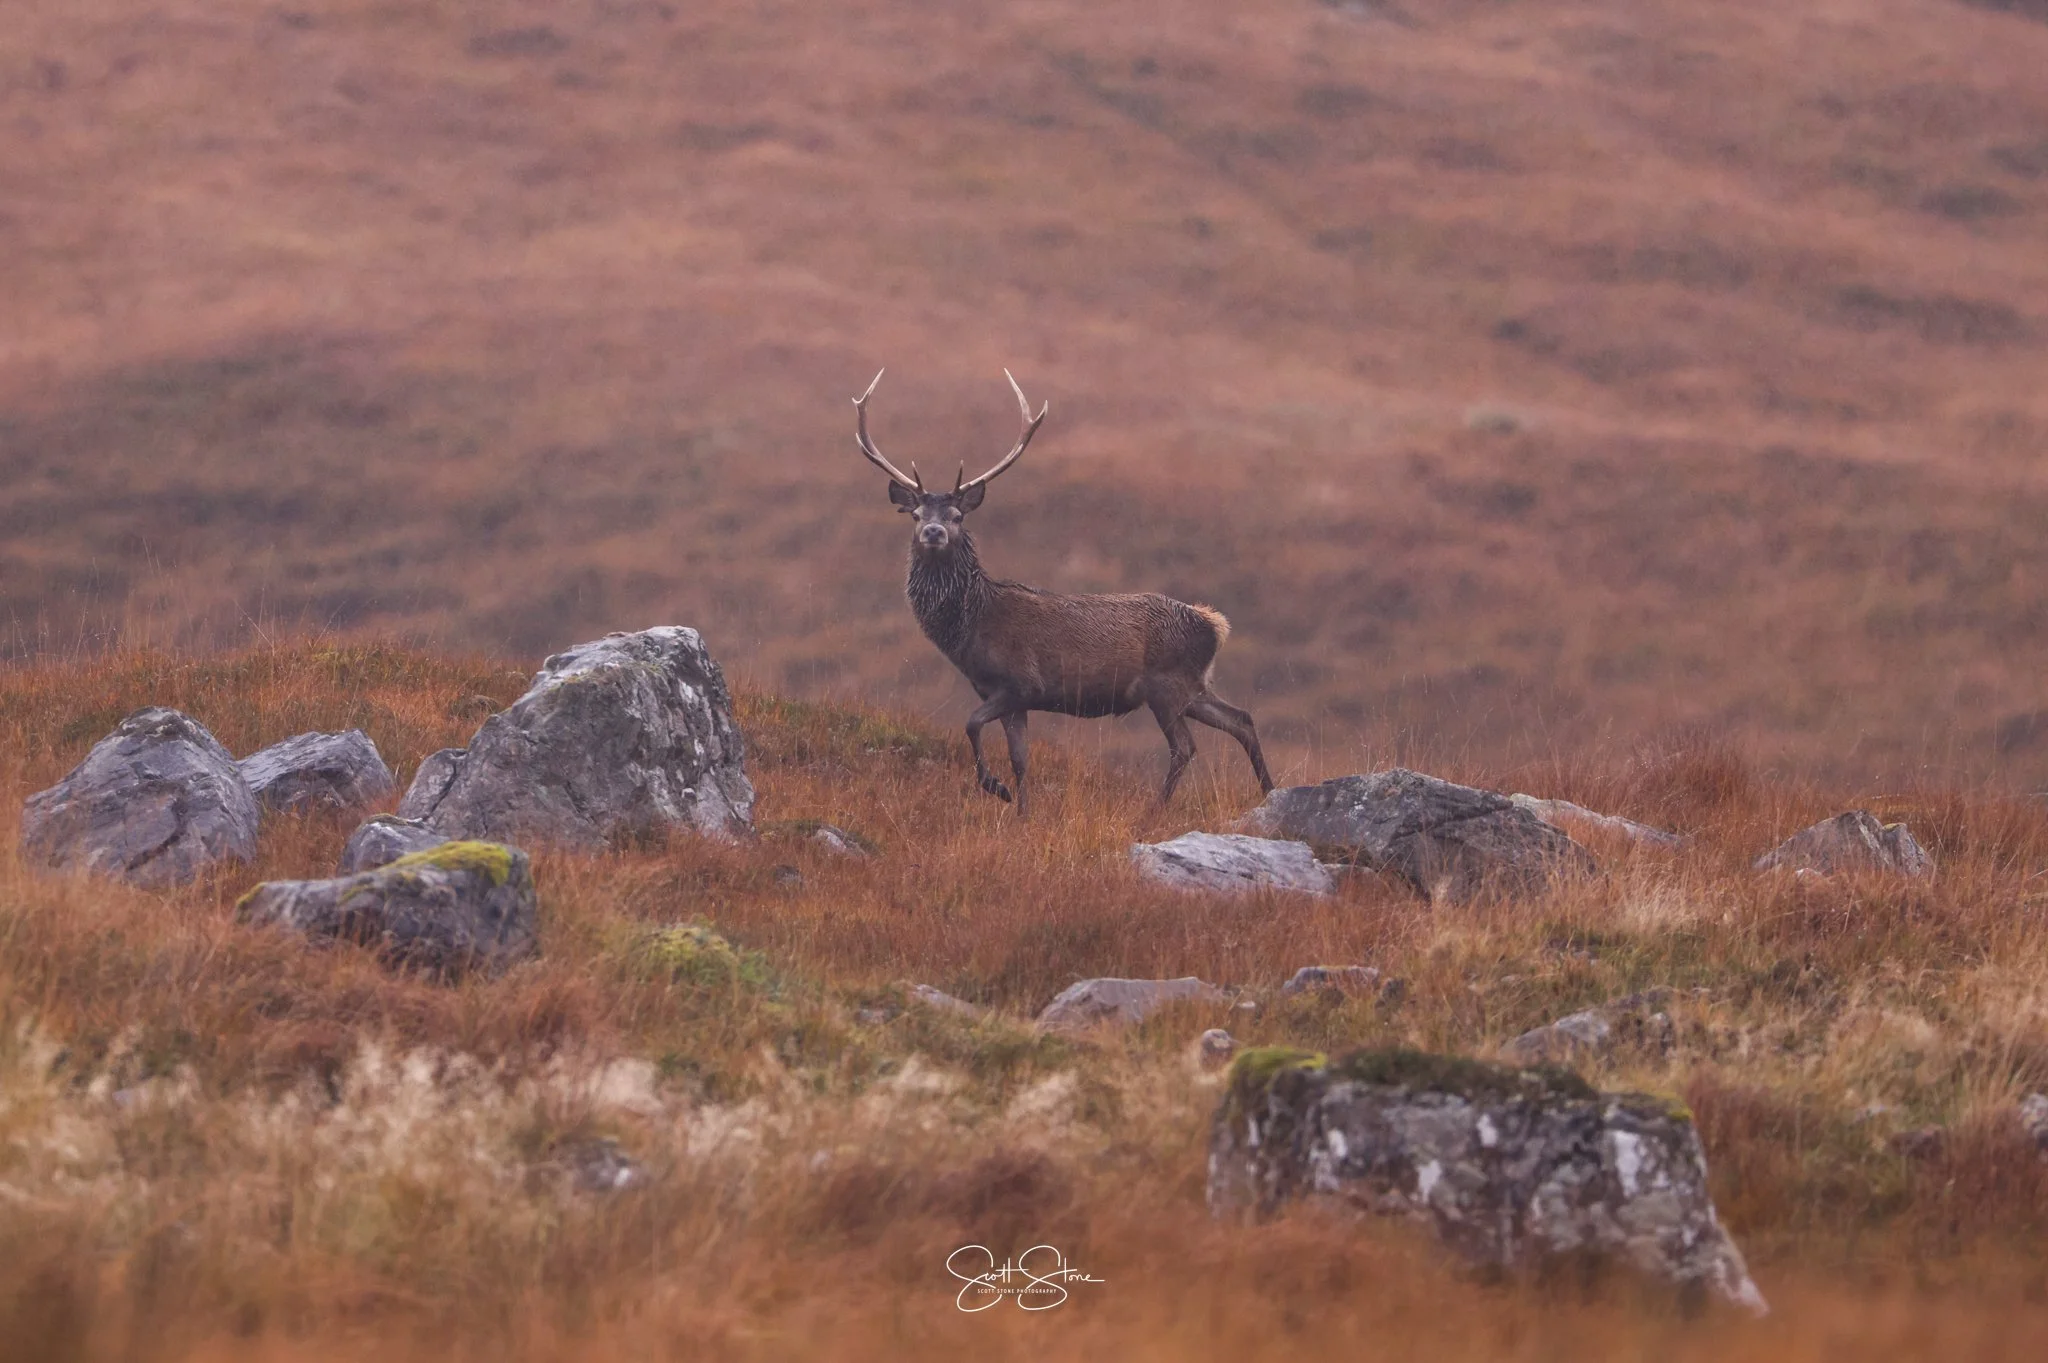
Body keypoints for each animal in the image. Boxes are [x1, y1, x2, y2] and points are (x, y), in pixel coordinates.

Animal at [850, 369, 1275, 818]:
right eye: (916, 515)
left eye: (957, 515)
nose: (933, 532)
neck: (970, 629)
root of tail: (1215, 625)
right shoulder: (1007, 697)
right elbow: (1020, 758)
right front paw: (1021, 812)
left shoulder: (1019, 683)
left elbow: (971, 724)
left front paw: (996, 788)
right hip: (1193, 686)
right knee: (1242, 719)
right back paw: (1268, 790)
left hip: (1167, 685)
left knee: (1185, 747)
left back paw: (1153, 811)